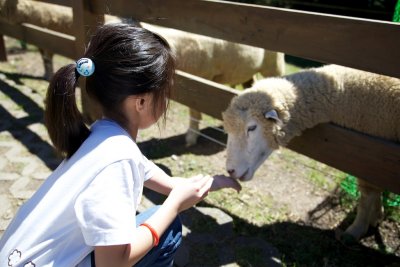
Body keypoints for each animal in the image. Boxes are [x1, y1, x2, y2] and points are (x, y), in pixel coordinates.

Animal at [222, 65, 400, 243]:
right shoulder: (372, 159)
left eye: (252, 128)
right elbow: (374, 191)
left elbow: (367, 196)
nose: (230, 170)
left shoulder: (369, 157)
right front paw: (376, 217)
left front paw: (356, 230)